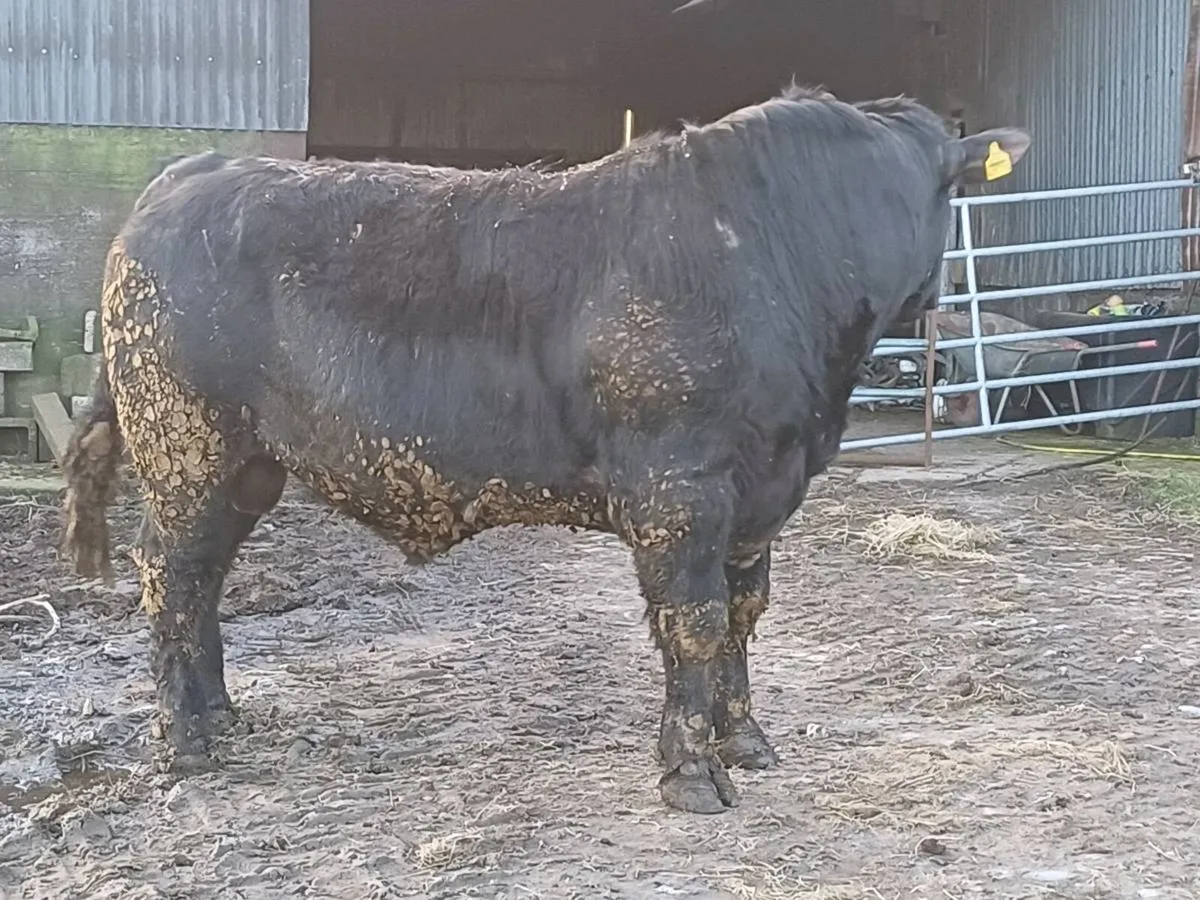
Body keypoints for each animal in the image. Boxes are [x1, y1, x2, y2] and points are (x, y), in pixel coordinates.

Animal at [60, 84, 1029, 814]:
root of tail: (190, 174)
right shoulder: (679, 486)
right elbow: (695, 620)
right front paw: (692, 773)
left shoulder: (762, 491)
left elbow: (742, 614)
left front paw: (746, 740)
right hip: (187, 449)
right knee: (172, 576)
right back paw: (187, 742)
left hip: (247, 466)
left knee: (206, 580)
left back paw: (223, 717)